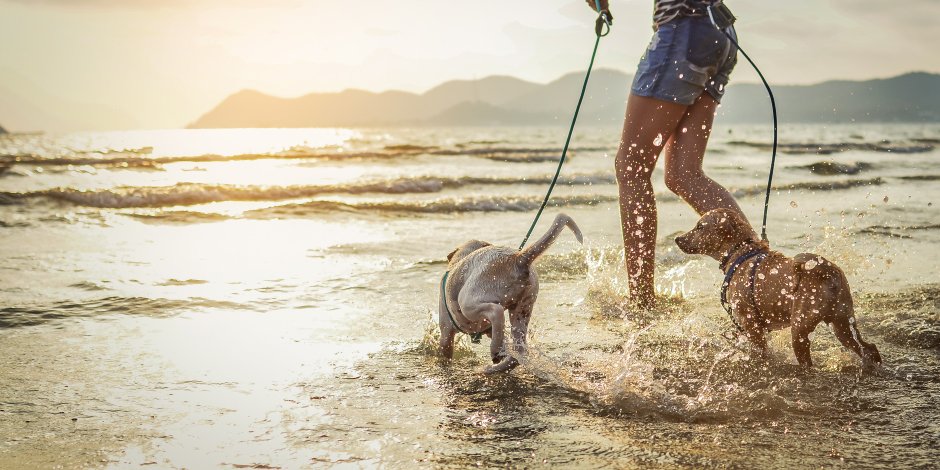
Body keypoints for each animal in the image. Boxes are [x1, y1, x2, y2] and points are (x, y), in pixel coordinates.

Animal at [676, 208, 880, 368]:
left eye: (700, 227)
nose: (677, 238)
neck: (741, 253)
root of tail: (828, 274)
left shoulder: (752, 326)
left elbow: (760, 353)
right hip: (842, 322)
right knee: (869, 348)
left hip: (801, 328)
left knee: (808, 361)